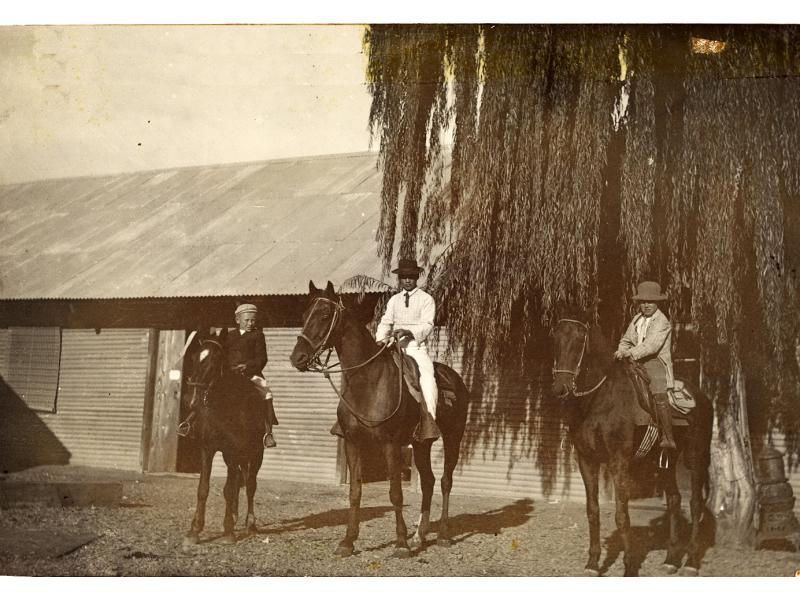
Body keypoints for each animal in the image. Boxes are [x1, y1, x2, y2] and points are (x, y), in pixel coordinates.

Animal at [184, 330, 266, 548]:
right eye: (193, 358)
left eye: (215, 360)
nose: (192, 400)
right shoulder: (208, 450)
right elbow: (203, 489)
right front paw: (194, 530)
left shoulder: (233, 451)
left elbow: (230, 489)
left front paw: (228, 532)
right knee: (239, 482)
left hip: (256, 453)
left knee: (250, 486)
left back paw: (250, 524)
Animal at [290, 282, 472, 556]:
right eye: (303, 315)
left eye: (324, 315)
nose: (297, 358)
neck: (368, 382)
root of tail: (455, 379)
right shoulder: (353, 443)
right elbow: (355, 491)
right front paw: (348, 541)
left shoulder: (391, 445)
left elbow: (395, 493)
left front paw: (401, 543)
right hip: (421, 443)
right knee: (428, 481)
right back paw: (419, 536)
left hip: (453, 438)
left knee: (445, 481)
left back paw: (442, 535)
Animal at [552, 316, 712, 576]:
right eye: (555, 340)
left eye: (578, 343)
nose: (560, 389)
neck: (601, 399)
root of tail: (702, 398)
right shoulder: (586, 460)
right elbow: (593, 511)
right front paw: (593, 564)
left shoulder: (619, 462)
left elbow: (621, 515)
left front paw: (629, 566)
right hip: (667, 461)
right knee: (674, 500)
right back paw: (671, 559)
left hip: (695, 458)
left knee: (696, 504)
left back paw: (690, 562)